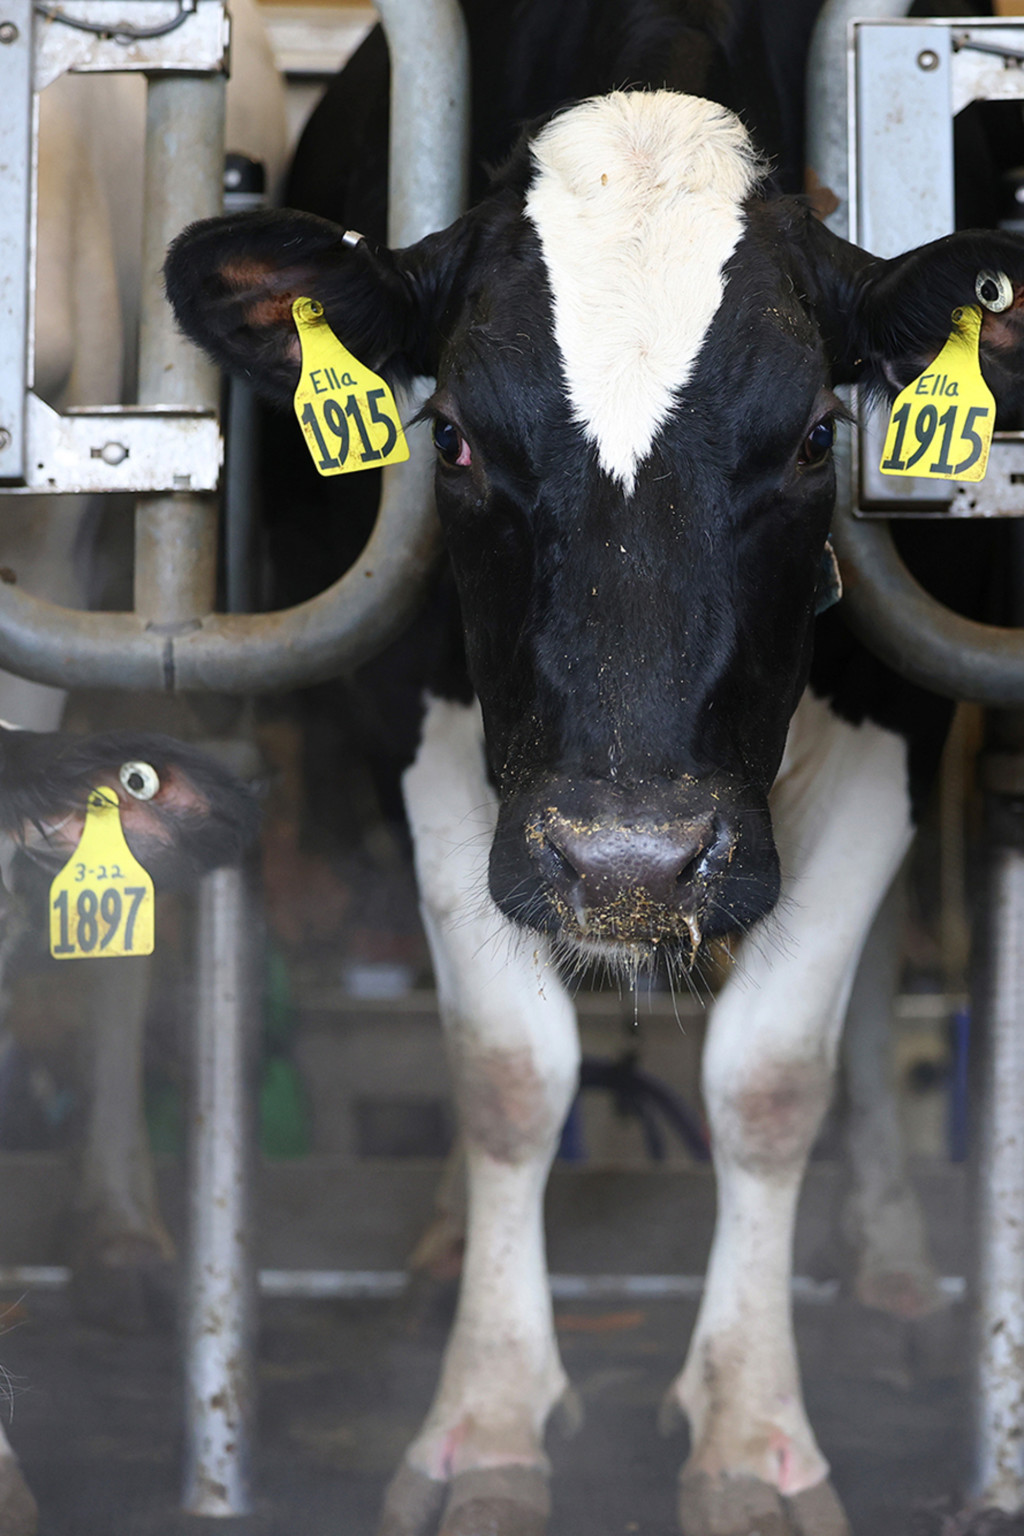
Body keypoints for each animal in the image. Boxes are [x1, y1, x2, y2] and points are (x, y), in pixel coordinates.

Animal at [163, 1, 1022, 1532]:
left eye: (817, 435)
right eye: (450, 436)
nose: (630, 863)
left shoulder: (892, 728)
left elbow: (771, 1081)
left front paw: (751, 1438)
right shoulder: (436, 733)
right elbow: (508, 1072)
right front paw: (487, 1425)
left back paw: (890, 1262)